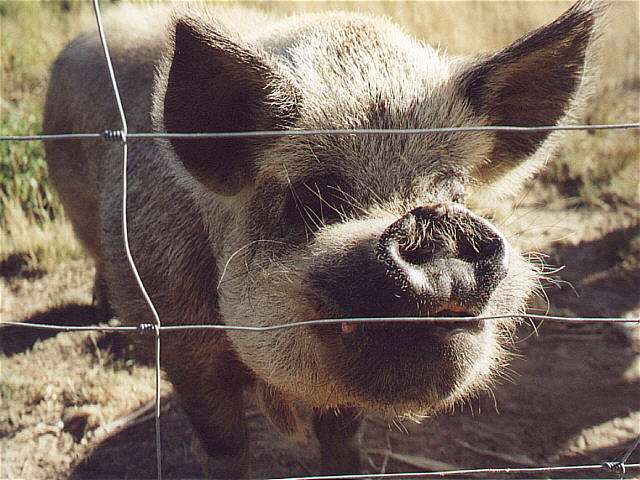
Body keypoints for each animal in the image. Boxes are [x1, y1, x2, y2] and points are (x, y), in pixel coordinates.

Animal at [42, 0, 604, 476]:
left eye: (455, 192)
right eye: (316, 198)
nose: (435, 221)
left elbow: (342, 433)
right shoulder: (182, 340)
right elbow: (225, 443)